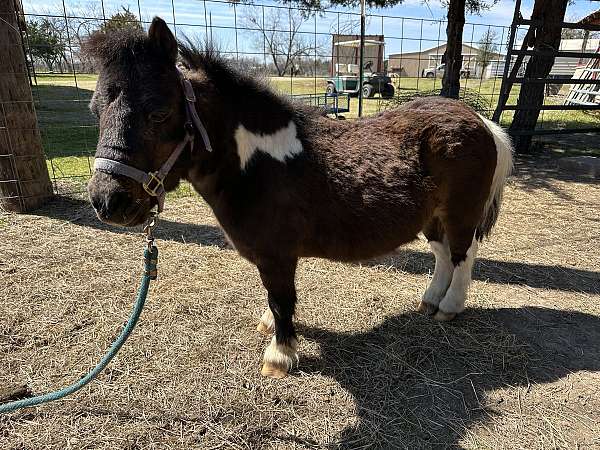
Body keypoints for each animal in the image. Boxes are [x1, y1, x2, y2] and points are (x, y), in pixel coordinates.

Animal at [86, 17, 512, 378]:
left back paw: (449, 308)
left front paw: (280, 355)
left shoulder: (277, 255)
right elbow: (274, 297)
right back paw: (431, 301)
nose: (108, 201)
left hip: (460, 213)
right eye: (95, 110)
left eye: (159, 112)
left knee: (463, 255)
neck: (258, 162)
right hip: (432, 218)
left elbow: (280, 298)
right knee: (443, 255)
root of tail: (481, 122)